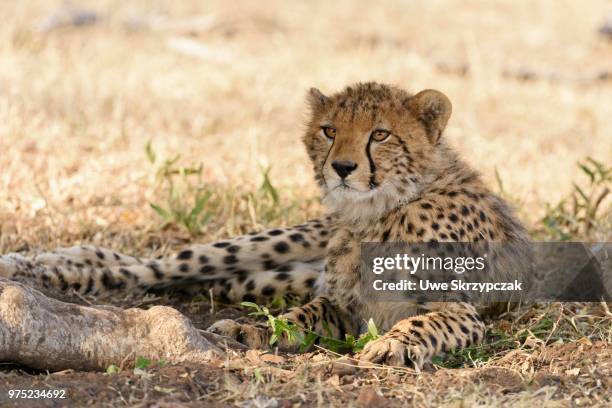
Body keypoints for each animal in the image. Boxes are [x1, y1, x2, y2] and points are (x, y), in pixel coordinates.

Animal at [0, 82, 524, 370]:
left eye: (380, 134)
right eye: (329, 130)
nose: (343, 167)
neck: (376, 214)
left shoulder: (457, 310)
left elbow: (423, 321)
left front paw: (393, 345)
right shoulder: (342, 305)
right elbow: (304, 314)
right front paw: (252, 332)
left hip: (264, 277)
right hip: (264, 245)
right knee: (153, 265)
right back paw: (42, 265)